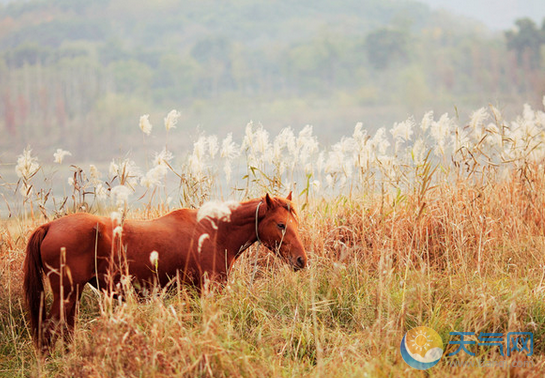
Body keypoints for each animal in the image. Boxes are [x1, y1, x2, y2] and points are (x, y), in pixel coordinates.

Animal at [23, 193, 306, 350]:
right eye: (281, 225)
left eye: (295, 222)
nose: (301, 260)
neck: (214, 233)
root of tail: (49, 226)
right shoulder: (208, 290)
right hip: (66, 293)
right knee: (51, 329)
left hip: (71, 294)